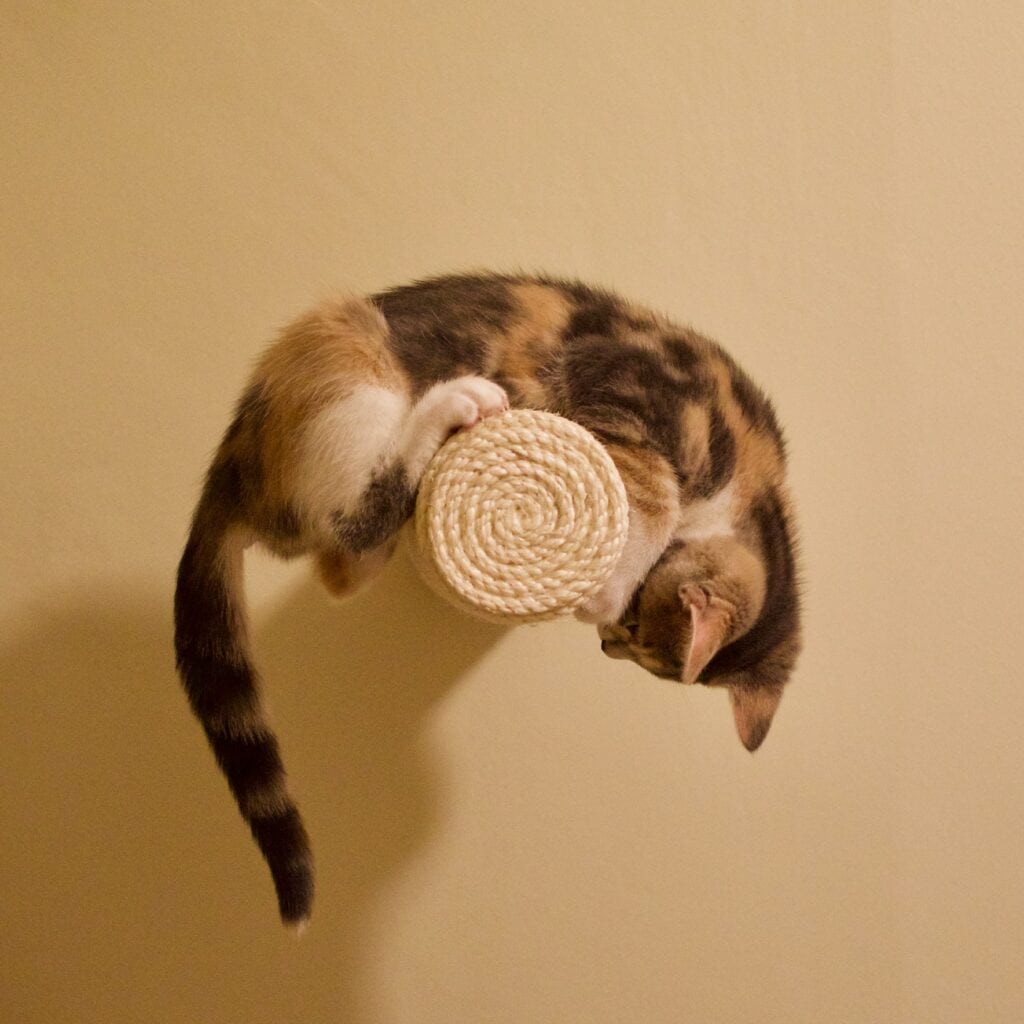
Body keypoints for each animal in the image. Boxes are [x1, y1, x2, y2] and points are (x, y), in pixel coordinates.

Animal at [174, 272, 798, 929]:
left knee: (342, 566)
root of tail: (230, 468)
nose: (605, 646)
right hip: (350, 360)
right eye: (630, 633)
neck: (752, 482)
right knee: (355, 519)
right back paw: (450, 408)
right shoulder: (627, 387)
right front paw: (606, 587)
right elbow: (658, 486)